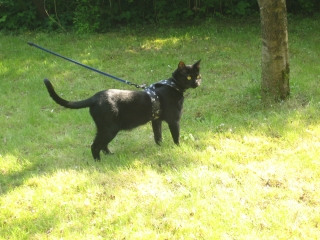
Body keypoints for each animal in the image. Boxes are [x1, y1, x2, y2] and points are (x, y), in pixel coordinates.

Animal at [43, 59, 201, 161]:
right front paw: (178, 149)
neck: (173, 86)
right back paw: (98, 162)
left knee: (102, 145)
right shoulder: (174, 121)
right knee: (95, 146)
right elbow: (176, 137)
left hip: (105, 129)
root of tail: (95, 97)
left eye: (198, 76)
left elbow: (158, 137)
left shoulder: (156, 121)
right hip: (110, 129)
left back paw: (110, 155)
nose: (197, 83)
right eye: (188, 77)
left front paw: (160, 148)